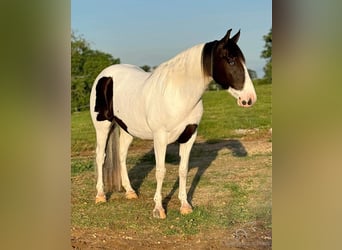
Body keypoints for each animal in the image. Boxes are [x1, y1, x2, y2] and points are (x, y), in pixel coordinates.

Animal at [89, 28, 255, 218]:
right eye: (231, 60)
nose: (249, 99)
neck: (178, 93)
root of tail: (105, 75)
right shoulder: (160, 138)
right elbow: (160, 171)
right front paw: (158, 209)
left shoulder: (189, 135)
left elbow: (183, 170)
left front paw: (185, 205)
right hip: (102, 126)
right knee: (100, 157)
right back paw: (100, 195)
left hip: (127, 129)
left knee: (122, 155)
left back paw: (130, 191)